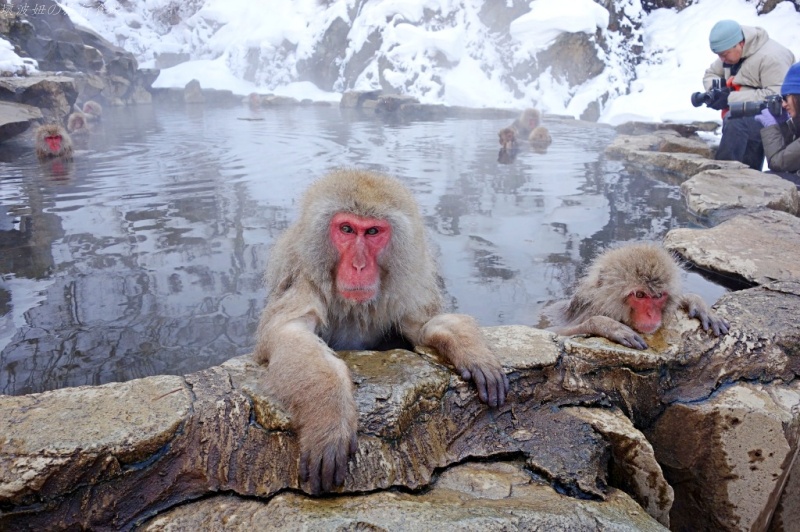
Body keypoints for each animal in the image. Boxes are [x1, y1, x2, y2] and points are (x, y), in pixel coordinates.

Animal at [254, 168, 510, 494]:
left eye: (373, 232)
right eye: (347, 229)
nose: (358, 266)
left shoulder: (403, 291)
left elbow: (423, 326)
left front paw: (470, 350)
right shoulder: (303, 279)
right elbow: (287, 331)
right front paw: (329, 417)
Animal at [543, 243, 729, 350]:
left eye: (658, 295)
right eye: (639, 294)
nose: (651, 314)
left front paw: (698, 304)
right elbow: (552, 332)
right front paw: (607, 325)